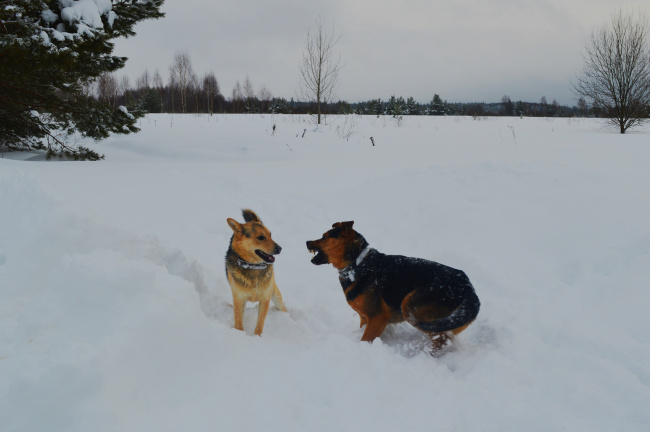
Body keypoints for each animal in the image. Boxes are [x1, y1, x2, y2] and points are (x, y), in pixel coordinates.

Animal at [306, 223, 478, 352]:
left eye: (325, 236)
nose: (307, 242)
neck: (357, 264)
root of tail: (466, 285)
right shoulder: (365, 318)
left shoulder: (378, 316)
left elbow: (365, 339)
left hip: (412, 306)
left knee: (441, 338)